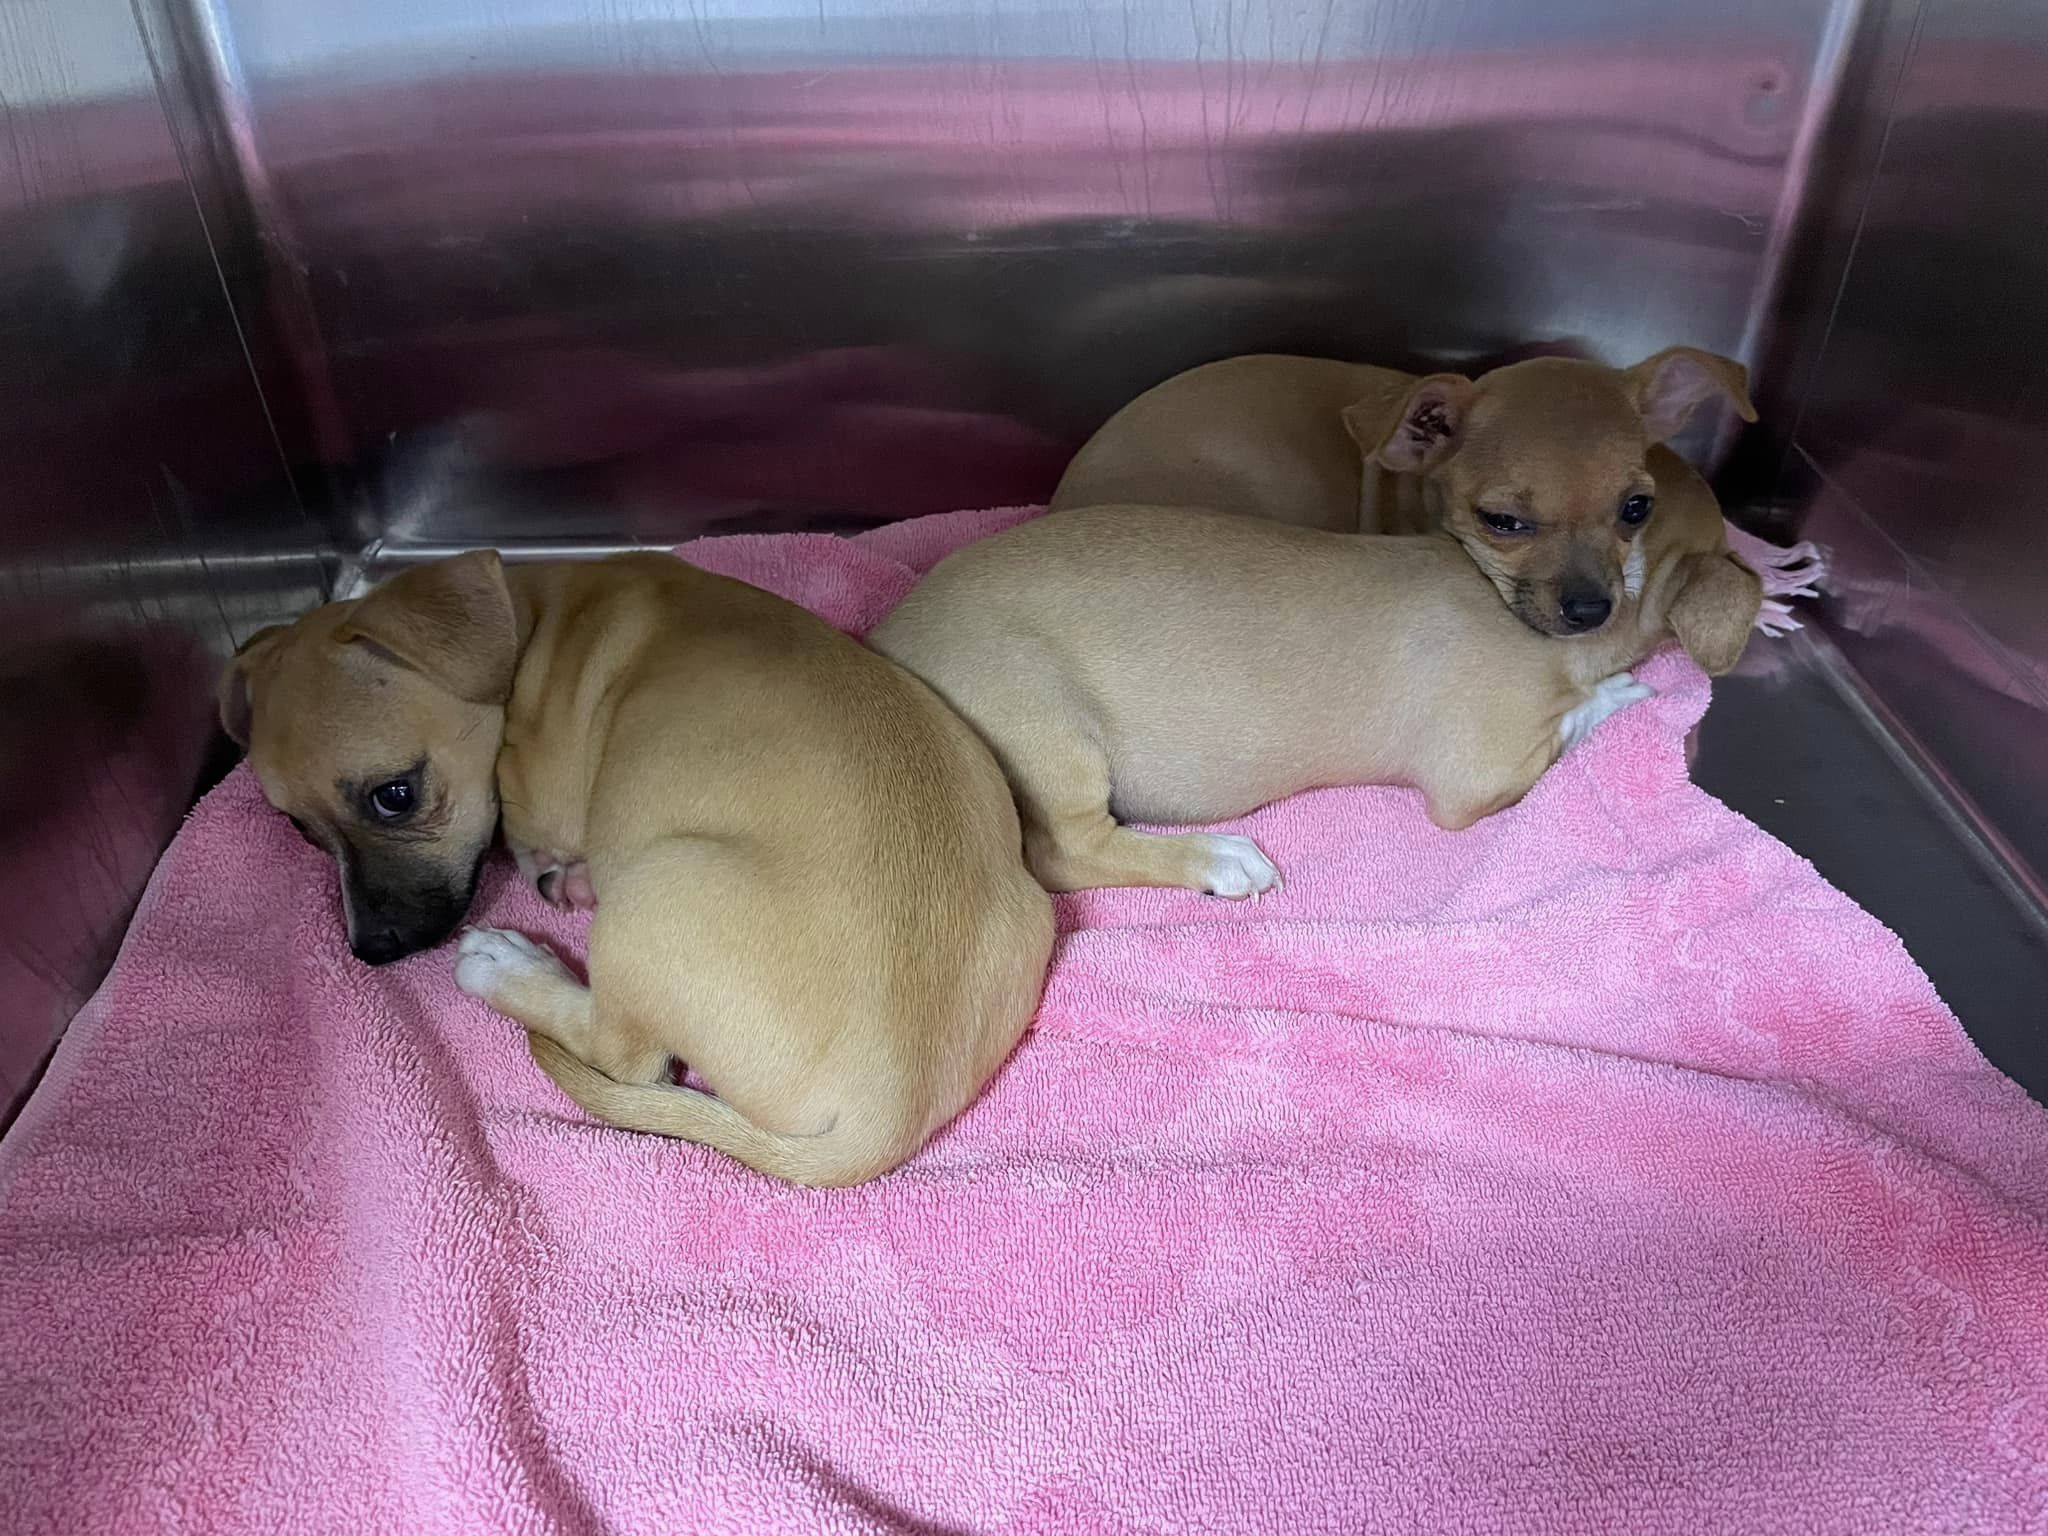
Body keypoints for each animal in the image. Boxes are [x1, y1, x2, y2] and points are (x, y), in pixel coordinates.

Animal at [220, 552, 1056, 1187]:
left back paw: (508, 966)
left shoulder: (533, 792)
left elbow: (527, 831)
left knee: (623, 1055)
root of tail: (890, 1112)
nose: (374, 951)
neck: (528, 621)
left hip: (651, 902)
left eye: (394, 795)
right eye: (298, 830)